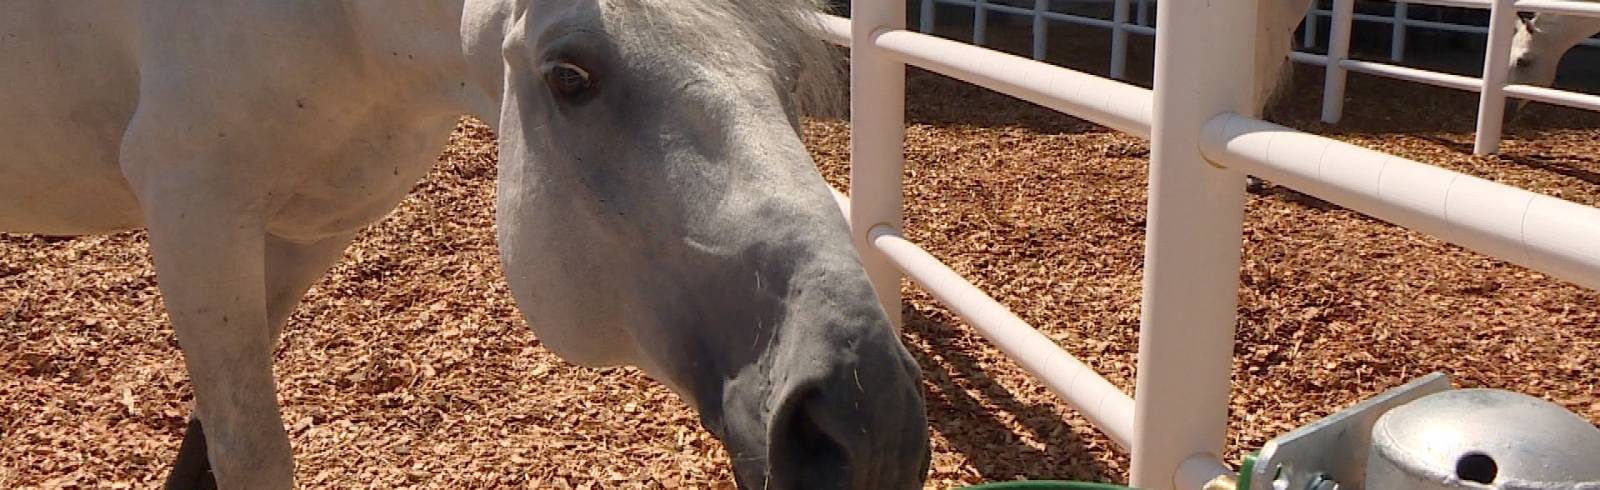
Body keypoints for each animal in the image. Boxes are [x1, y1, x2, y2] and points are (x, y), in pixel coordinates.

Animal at [0, 1, 934, 486]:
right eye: (569, 78)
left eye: (788, 72)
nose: (870, 423)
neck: (337, 26)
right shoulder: (195, 213)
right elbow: (250, 450)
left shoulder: (304, 230)